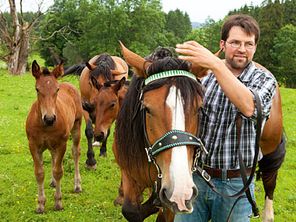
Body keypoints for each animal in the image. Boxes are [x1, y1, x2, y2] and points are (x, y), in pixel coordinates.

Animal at [25, 60, 82, 213]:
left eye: (57, 90)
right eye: (37, 89)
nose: (49, 118)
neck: (45, 126)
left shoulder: (62, 144)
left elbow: (58, 171)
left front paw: (58, 202)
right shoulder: (33, 145)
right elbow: (39, 173)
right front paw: (40, 204)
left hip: (77, 127)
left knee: (75, 153)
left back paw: (77, 185)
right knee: (53, 156)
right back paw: (52, 182)